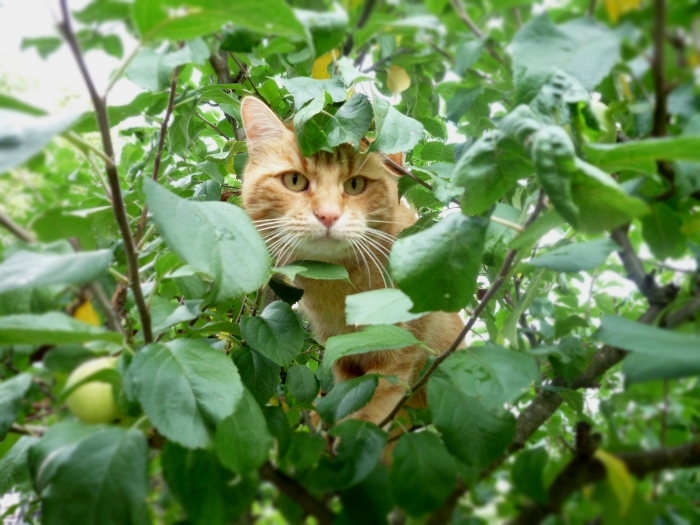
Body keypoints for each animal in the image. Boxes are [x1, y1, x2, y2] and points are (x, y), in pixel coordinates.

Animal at [241, 96, 464, 426]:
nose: (328, 214)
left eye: (355, 185)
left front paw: (364, 422)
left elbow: (383, 385)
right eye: (294, 181)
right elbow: (349, 386)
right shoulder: (339, 347)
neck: (342, 285)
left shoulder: (405, 335)